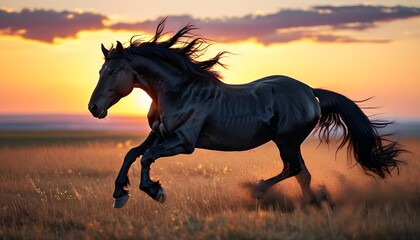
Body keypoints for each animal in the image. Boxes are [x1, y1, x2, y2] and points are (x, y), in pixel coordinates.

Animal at [88, 18, 404, 207]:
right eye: (101, 70)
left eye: (113, 71)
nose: (93, 108)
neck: (178, 91)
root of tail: (309, 91)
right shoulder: (159, 134)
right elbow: (132, 154)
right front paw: (119, 193)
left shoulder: (184, 143)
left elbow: (147, 158)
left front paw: (156, 191)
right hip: (289, 143)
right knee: (302, 173)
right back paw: (308, 203)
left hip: (287, 141)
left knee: (294, 169)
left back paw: (260, 189)